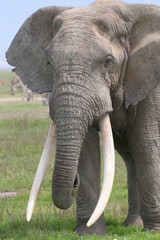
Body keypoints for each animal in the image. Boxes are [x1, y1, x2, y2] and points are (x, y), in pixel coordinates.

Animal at [5, 0, 160, 236]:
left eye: (108, 62)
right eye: (49, 63)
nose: (73, 183)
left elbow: (146, 145)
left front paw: (154, 231)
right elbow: (86, 150)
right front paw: (89, 233)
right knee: (130, 158)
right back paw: (131, 225)